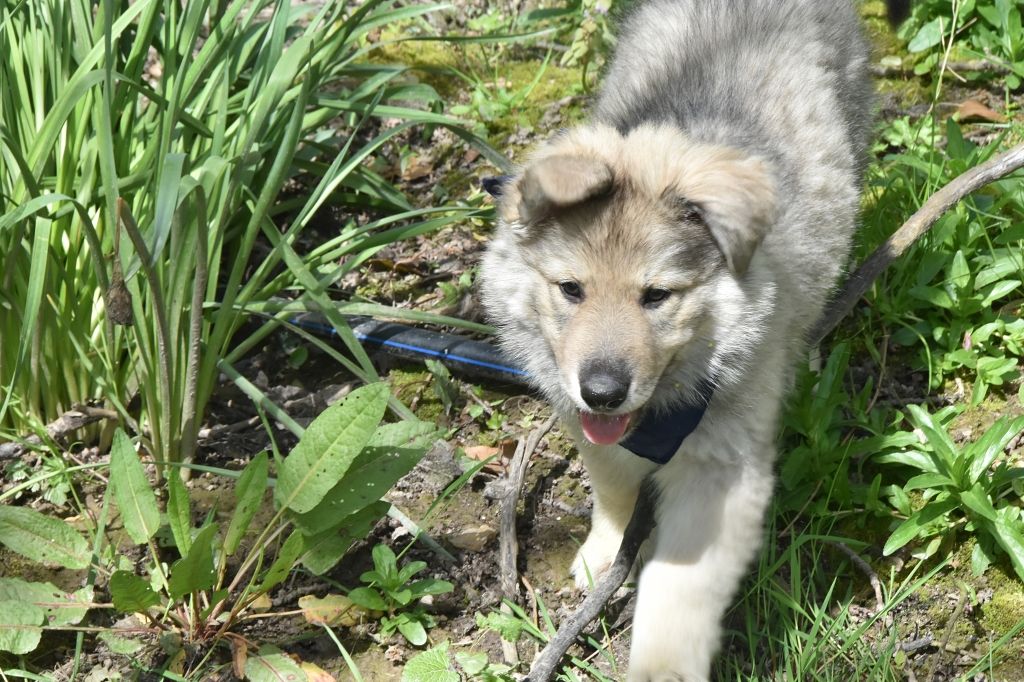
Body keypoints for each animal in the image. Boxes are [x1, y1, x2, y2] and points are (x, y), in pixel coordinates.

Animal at [479, 1, 889, 679]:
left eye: (656, 296)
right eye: (571, 289)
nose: (603, 391)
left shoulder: (719, 473)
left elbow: (678, 590)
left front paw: (661, 665)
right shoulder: (584, 421)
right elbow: (613, 485)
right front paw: (605, 549)